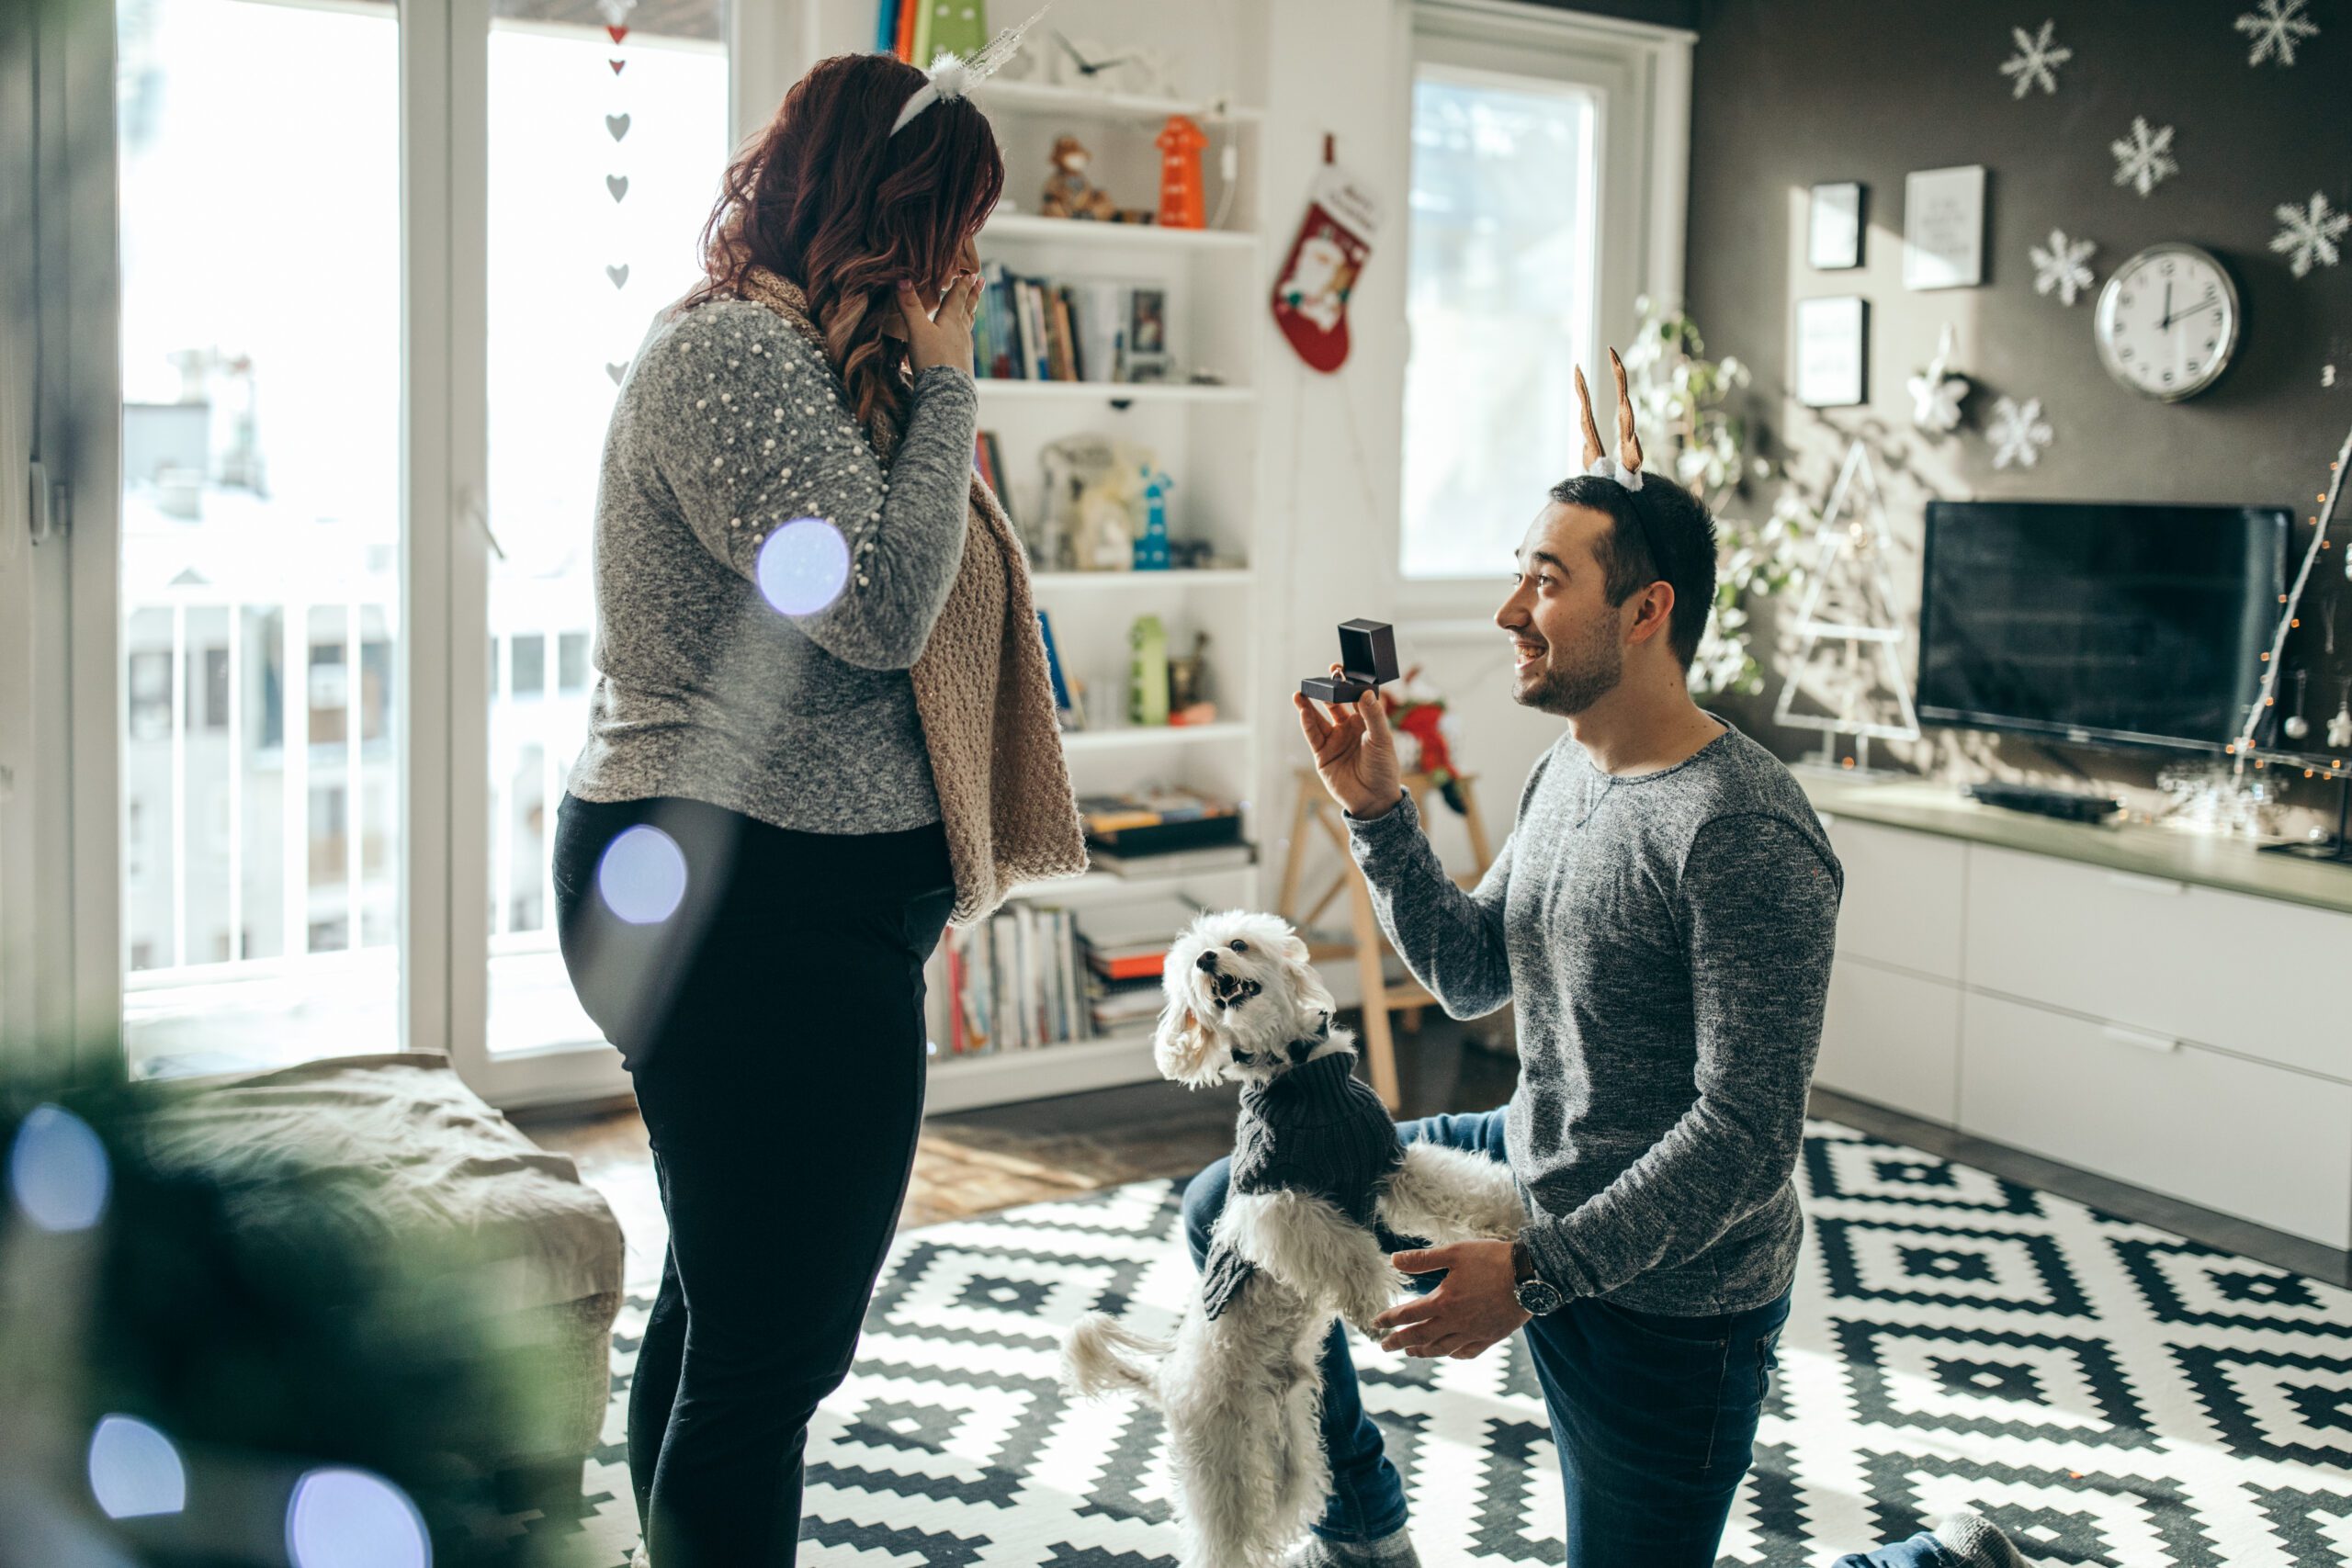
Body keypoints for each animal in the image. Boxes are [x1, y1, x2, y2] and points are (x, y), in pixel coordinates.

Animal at [1063, 907, 1523, 1568]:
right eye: (1191, 965)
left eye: (1237, 943)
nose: (1207, 961)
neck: (1299, 1070)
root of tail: (1168, 1383)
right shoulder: (1273, 1202)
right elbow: (1345, 1251)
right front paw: (1371, 1300)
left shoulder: (1389, 1164)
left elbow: (1461, 1184)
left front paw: (1514, 1211)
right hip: (1224, 1465)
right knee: (1219, 1543)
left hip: (1288, 1455)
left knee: (1278, 1514)